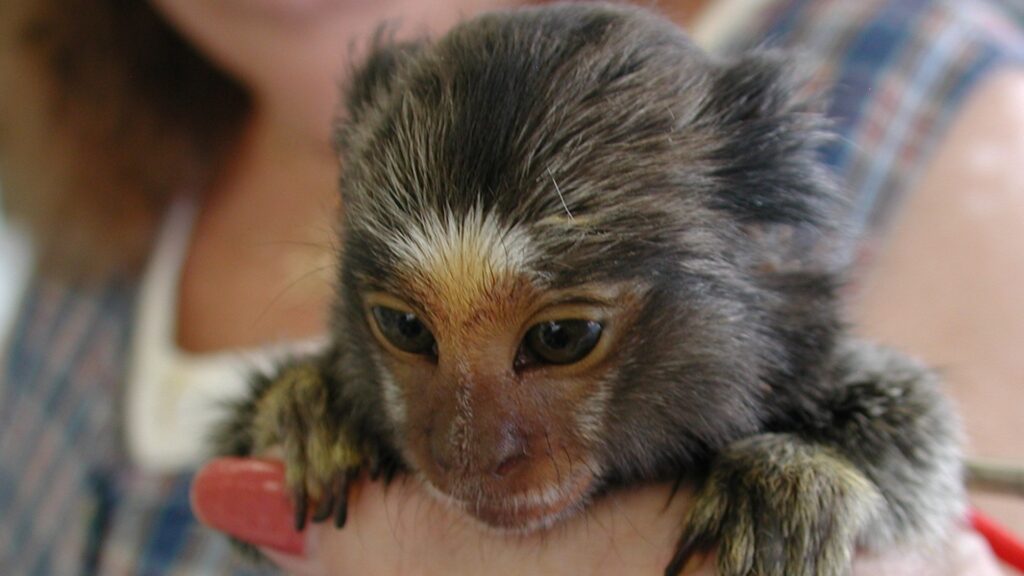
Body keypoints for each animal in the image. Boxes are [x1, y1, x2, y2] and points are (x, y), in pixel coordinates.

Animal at [213, 4, 965, 575]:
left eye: (561, 337)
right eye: (405, 328)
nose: (467, 457)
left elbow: (918, 433)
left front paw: (792, 478)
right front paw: (310, 410)